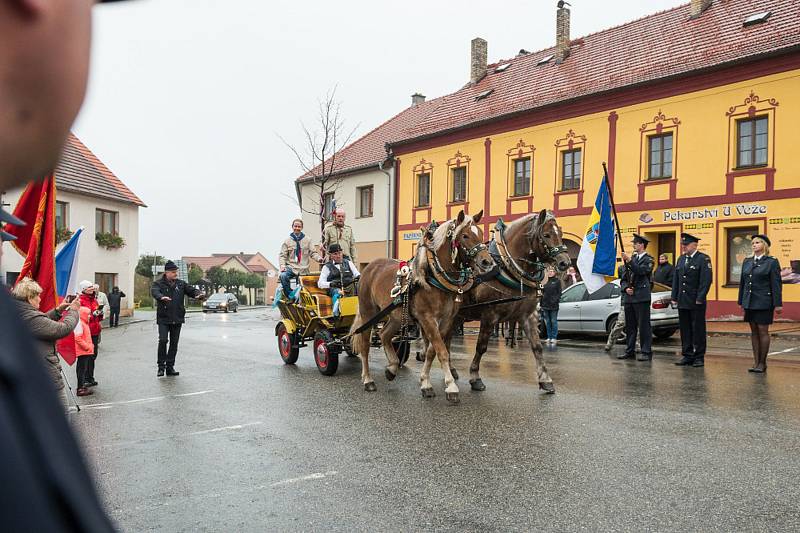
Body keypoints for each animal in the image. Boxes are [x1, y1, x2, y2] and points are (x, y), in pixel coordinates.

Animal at [354, 210, 496, 402]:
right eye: (465, 235)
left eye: (480, 233)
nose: (487, 262)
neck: (434, 277)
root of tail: (369, 267)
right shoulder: (427, 319)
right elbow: (441, 350)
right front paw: (451, 386)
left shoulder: (446, 321)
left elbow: (431, 351)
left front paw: (426, 383)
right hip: (369, 313)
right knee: (364, 345)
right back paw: (368, 379)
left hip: (397, 316)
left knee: (384, 335)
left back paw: (392, 367)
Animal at [460, 210, 572, 392]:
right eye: (546, 235)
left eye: (560, 233)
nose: (565, 262)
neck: (506, 267)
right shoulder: (489, 315)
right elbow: (481, 347)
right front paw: (475, 377)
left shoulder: (528, 315)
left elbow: (537, 347)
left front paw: (546, 379)